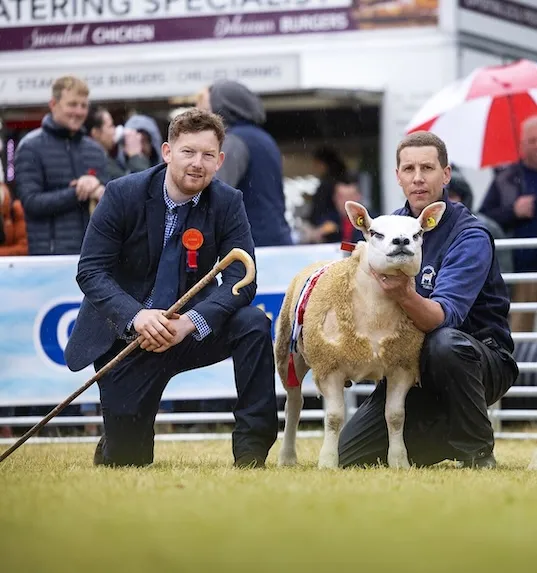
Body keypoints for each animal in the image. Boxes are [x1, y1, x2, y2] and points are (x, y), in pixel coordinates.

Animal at [274, 199, 446, 466]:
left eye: (418, 234)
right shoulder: (329, 366)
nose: (401, 241)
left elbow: (395, 416)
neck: (374, 314)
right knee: (294, 403)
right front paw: (327, 462)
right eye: (375, 233)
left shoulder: (402, 366)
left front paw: (399, 461)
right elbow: (334, 417)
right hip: (288, 355)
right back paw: (287, 457)